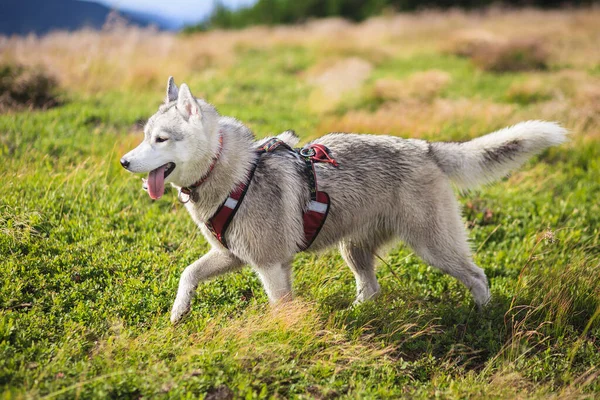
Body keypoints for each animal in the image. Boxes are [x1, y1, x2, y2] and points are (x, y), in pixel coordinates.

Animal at [120, 76, 568, 324]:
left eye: (161, 139)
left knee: (477, 276)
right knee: (371, 289)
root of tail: (425, 148)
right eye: (144, 136)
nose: (124, 162)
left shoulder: (268, 264)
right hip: (354, 250)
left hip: (433, 247)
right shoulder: (233, 255)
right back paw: (353, 315)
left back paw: (483, 320)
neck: (227, 171)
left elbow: (279, 306)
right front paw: (179, 312)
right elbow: (188, 274)